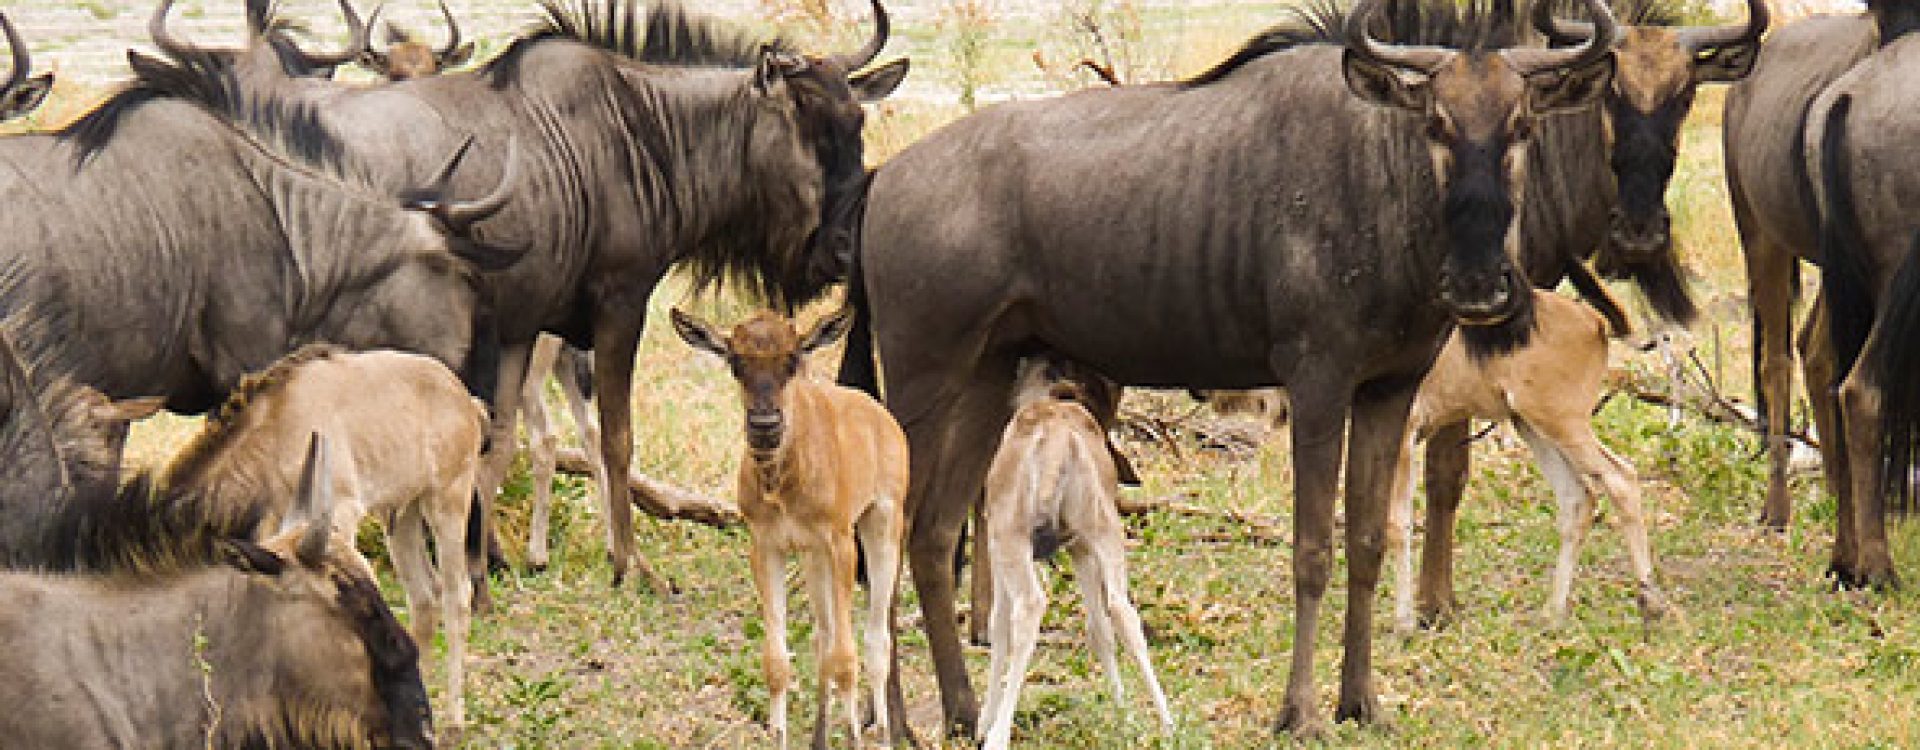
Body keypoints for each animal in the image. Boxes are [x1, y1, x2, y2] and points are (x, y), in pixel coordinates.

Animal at [675, 306, 906, 750]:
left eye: (794, 358)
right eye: (735, 361)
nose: (765, 425)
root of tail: (881, 415)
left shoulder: (841, 543)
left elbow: (846, 659)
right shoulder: (768, 547)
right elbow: (779, 660)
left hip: (882, 526)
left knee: (875, 642)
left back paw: (883, 733)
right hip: (814, 558)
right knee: (822, 638)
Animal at [983, 358, 1175, 750]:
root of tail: (1057, 441)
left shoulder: (994, 543)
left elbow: (998, 625)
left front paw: (984, 721)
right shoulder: (1081, 549)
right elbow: (1100, 630)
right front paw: (1123, 714)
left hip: (1011, 538)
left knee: (1029, 607)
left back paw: (998, 734)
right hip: (1104, 530)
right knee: (1122, 610)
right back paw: (1164, 723)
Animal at [1382, 291, 1666, 632]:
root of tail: (1593, 320)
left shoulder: (1404, 435)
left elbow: (1395, 524)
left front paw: (1404, 623)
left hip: (1562, 423)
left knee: (1621, 477)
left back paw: (1650, 603)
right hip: (1532, 427)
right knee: (1577, 497)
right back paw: (1553, 613)